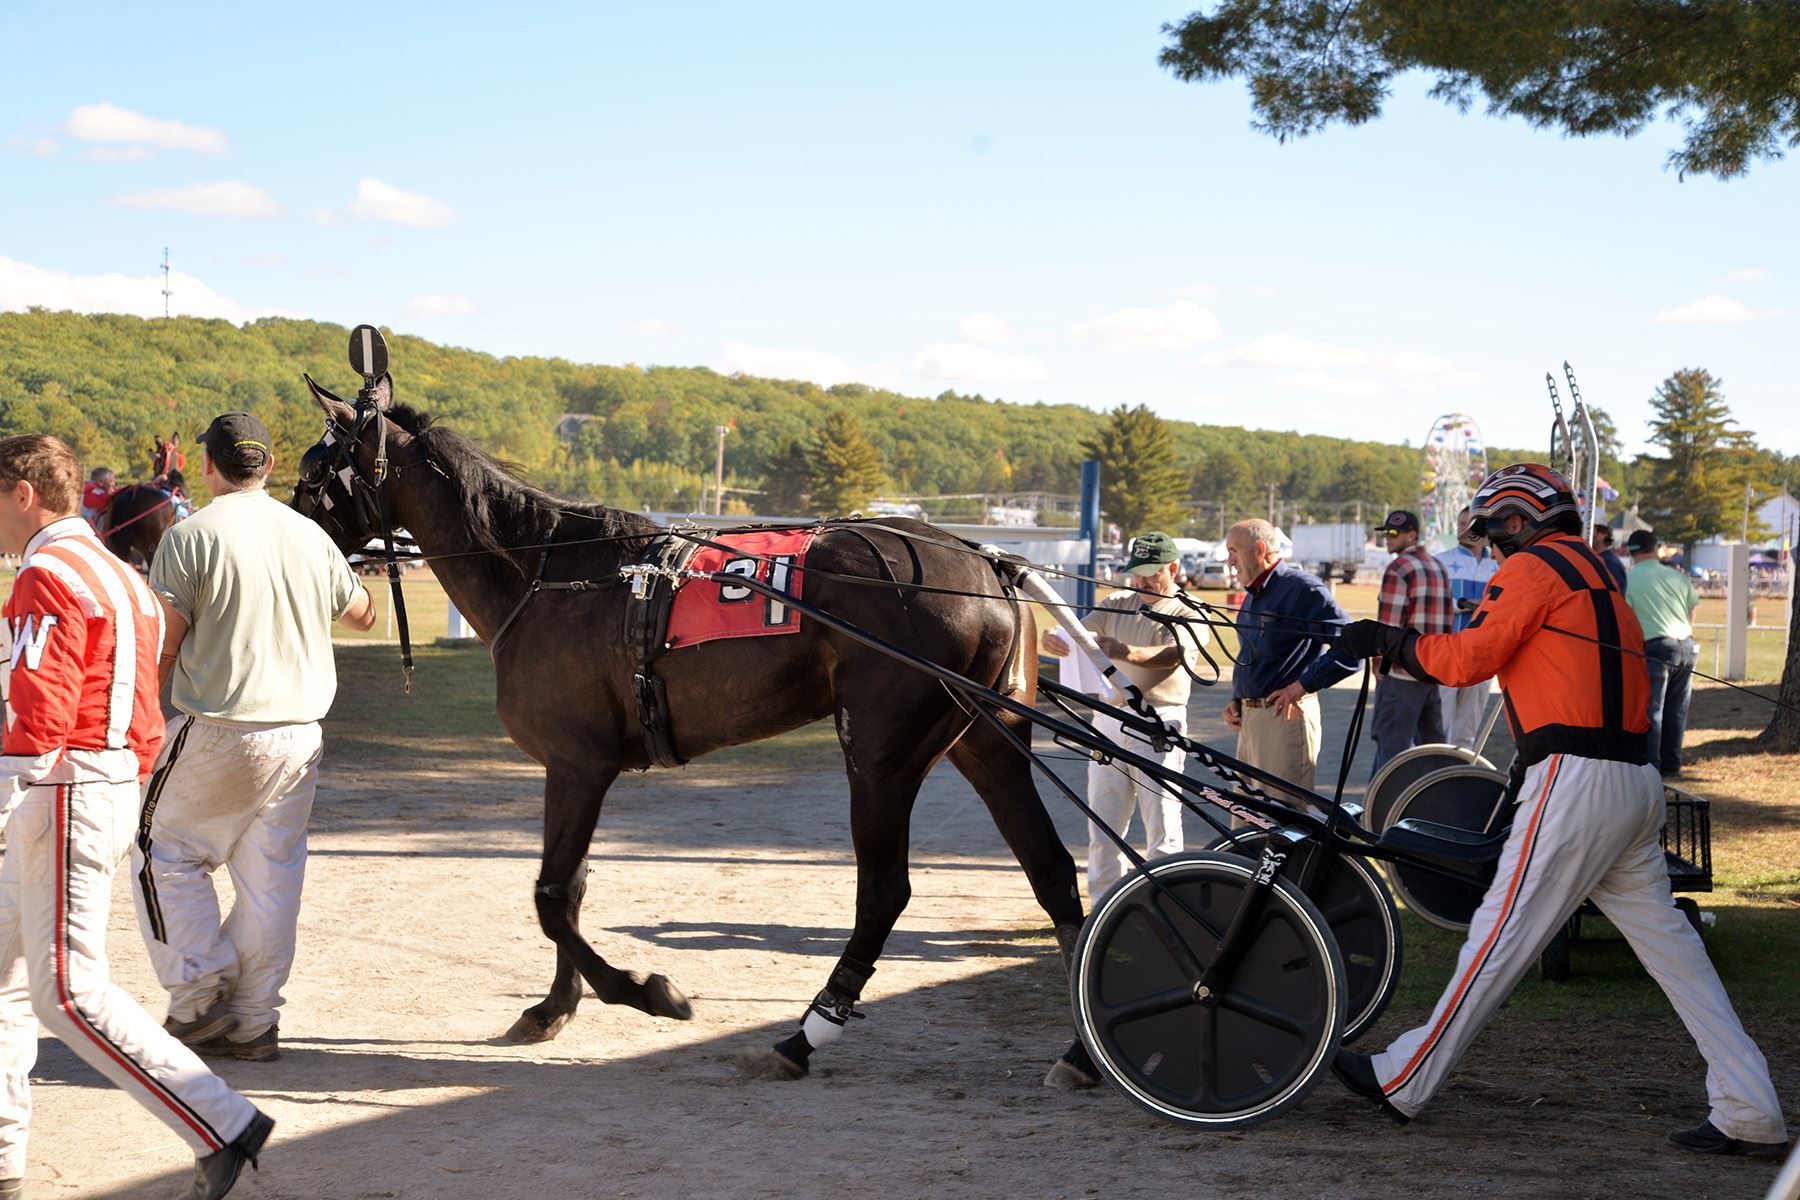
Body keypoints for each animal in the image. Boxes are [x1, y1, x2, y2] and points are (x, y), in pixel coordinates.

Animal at [291, 377, 1094, 1086]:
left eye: (311, 473)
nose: (291, 535)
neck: (545, 573)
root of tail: (990, 570)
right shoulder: (572, 766)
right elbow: (569, 888)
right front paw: (553, 1008)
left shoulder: (579, 761)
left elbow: (551, 894)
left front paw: (644, 991)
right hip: (986, 743)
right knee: (1052, 872)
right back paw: (1081, 1051)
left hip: (881, 753)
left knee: (883, 892)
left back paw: (804, 1036)